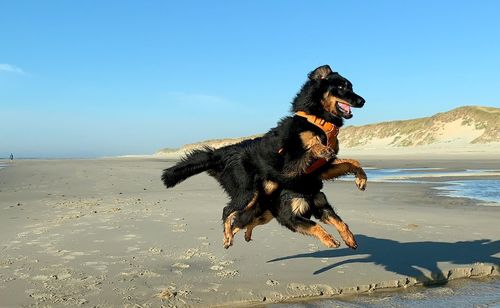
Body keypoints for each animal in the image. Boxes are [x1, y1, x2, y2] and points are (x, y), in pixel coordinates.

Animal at [162, 64, 366, 248]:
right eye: (342, 87)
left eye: (351, 86)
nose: (363, 101)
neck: (320, 120)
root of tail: (222, 152)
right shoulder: (291, 172)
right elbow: (312, 148)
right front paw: (330, 240)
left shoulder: (320, 183)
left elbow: (351, 165)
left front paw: (361, 181)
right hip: (248, 192)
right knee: (228, 211)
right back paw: (227, 237)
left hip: (260, 205)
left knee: (241, 221)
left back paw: (241, 235)